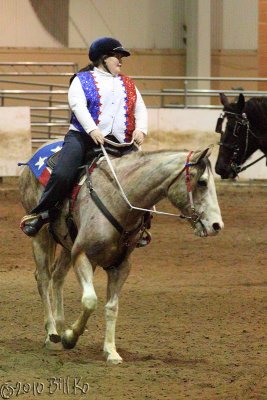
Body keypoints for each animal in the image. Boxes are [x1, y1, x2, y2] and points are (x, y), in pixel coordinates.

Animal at [19, 146, 224, 362]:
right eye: (202, 182)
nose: (216, 225)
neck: (118, 199)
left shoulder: (121, 265)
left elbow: (111, 307)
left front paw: (111, 351)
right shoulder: (83, 256)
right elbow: (90, 301)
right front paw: (70, 337)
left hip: (67, 246)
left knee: (58, 277)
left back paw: (59, 326)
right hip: (41, 236)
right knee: (43, 278)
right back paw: (52, 334)